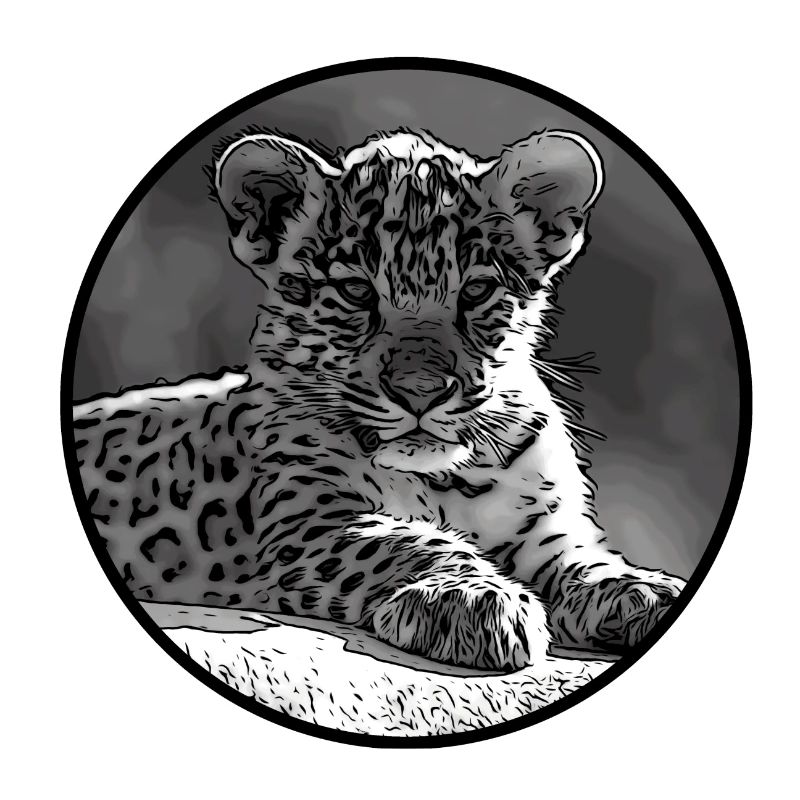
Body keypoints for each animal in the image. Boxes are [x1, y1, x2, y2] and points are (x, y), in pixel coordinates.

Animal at [72, 127, 686, 671]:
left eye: (476, 291)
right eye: (356, 292)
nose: (420, 392)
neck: (448, 478)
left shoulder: (546, 532)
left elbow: (584, 562)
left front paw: (644, 590)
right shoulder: (307, 526)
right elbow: (407, 541)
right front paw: (467, 599)